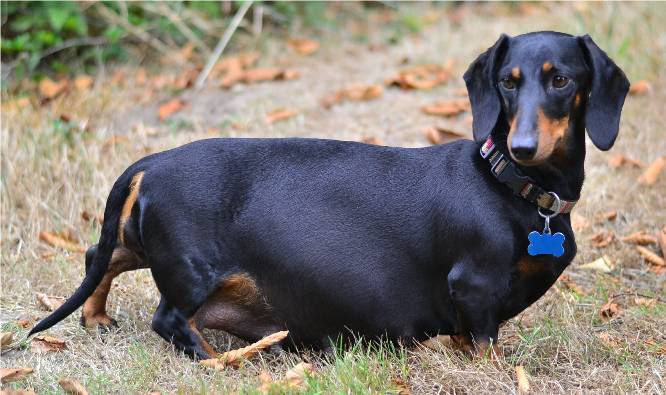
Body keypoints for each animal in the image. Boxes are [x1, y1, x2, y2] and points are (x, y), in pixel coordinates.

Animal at [27, 31, 628, 358]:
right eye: (508, 80)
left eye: (560, 80)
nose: (522, 146)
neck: (512, 187)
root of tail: (151, 162)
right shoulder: (475, 289)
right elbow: (484, 345)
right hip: (192, 269)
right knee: (169, 320)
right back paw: (223, 361)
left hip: (148, 244)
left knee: (100, 256)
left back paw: (97, 318)